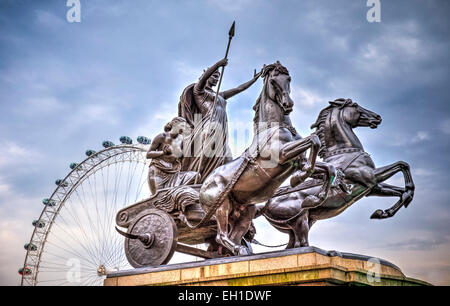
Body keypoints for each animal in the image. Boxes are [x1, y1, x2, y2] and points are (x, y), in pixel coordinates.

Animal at [195, 61, 322, 255]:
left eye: (288, 79)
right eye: (273, 81)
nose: (288, 104)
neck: (273, 127)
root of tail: (202, 187)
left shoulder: (297, 160)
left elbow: (324, 161)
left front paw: (316, 193)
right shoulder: (283, 154)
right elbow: (313, 140)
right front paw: (299, 178)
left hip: (245, 212)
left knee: (232, 237)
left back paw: (239, 252)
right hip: (221, 207)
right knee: (221, 236)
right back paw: (239, 250)